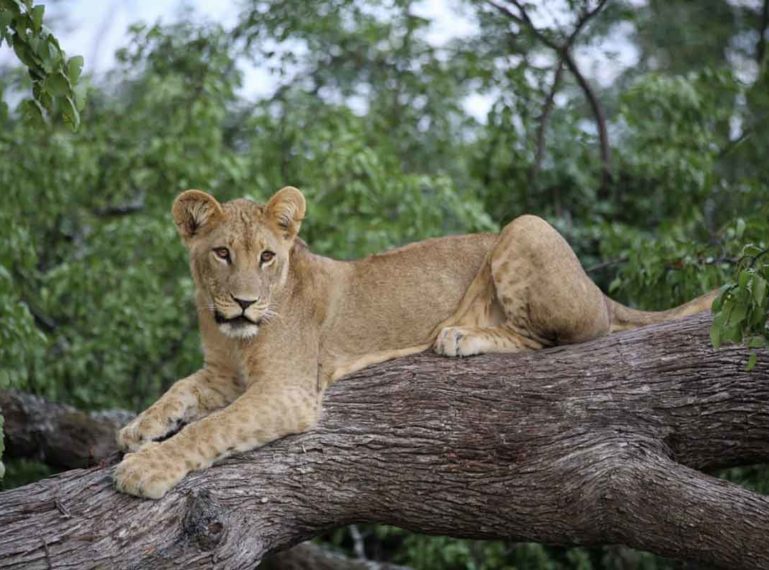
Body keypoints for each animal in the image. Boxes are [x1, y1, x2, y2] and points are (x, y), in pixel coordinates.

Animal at [112, 186, 712, 496]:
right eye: (221, 254)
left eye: (266, 256)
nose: (243, 302)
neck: (233, 334)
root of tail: (601, 291)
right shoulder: (221, 373)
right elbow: (180, 390)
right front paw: (140, 428)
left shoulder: (287, 390)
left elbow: (210, 428)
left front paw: (146, 469)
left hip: (525, 226)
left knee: (559, 338)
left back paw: (462, 334)